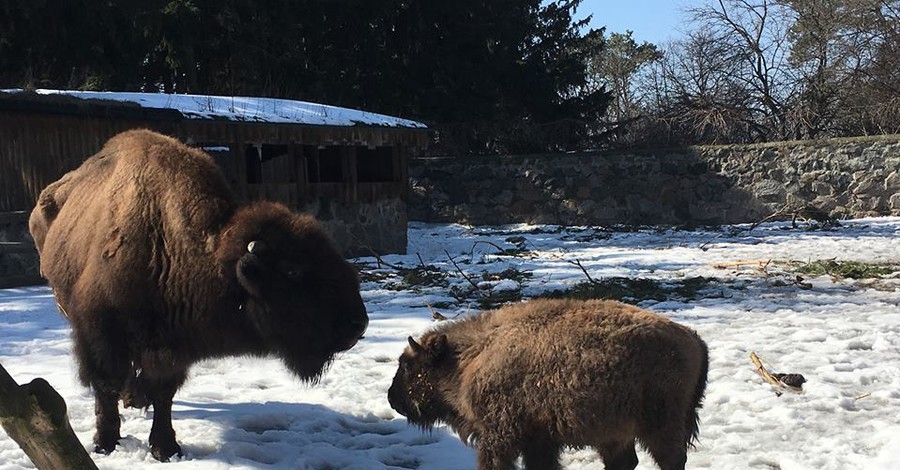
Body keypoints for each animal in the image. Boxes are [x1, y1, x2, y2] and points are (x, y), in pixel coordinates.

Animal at [30, 130, 370, 460]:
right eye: (292, 271)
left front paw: (165, 448)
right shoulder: (100, 334)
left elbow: (163, 392)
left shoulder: (171, 347)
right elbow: (105, 386)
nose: (358, 324)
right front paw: (106, 443)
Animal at [388, 300, 712, 468]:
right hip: (619, 432)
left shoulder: (500, 435)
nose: (392, 399)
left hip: (660, 427)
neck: (469, 357)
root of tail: (694, 340)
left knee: (670, 460)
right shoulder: (539, 438)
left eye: (409, 366)